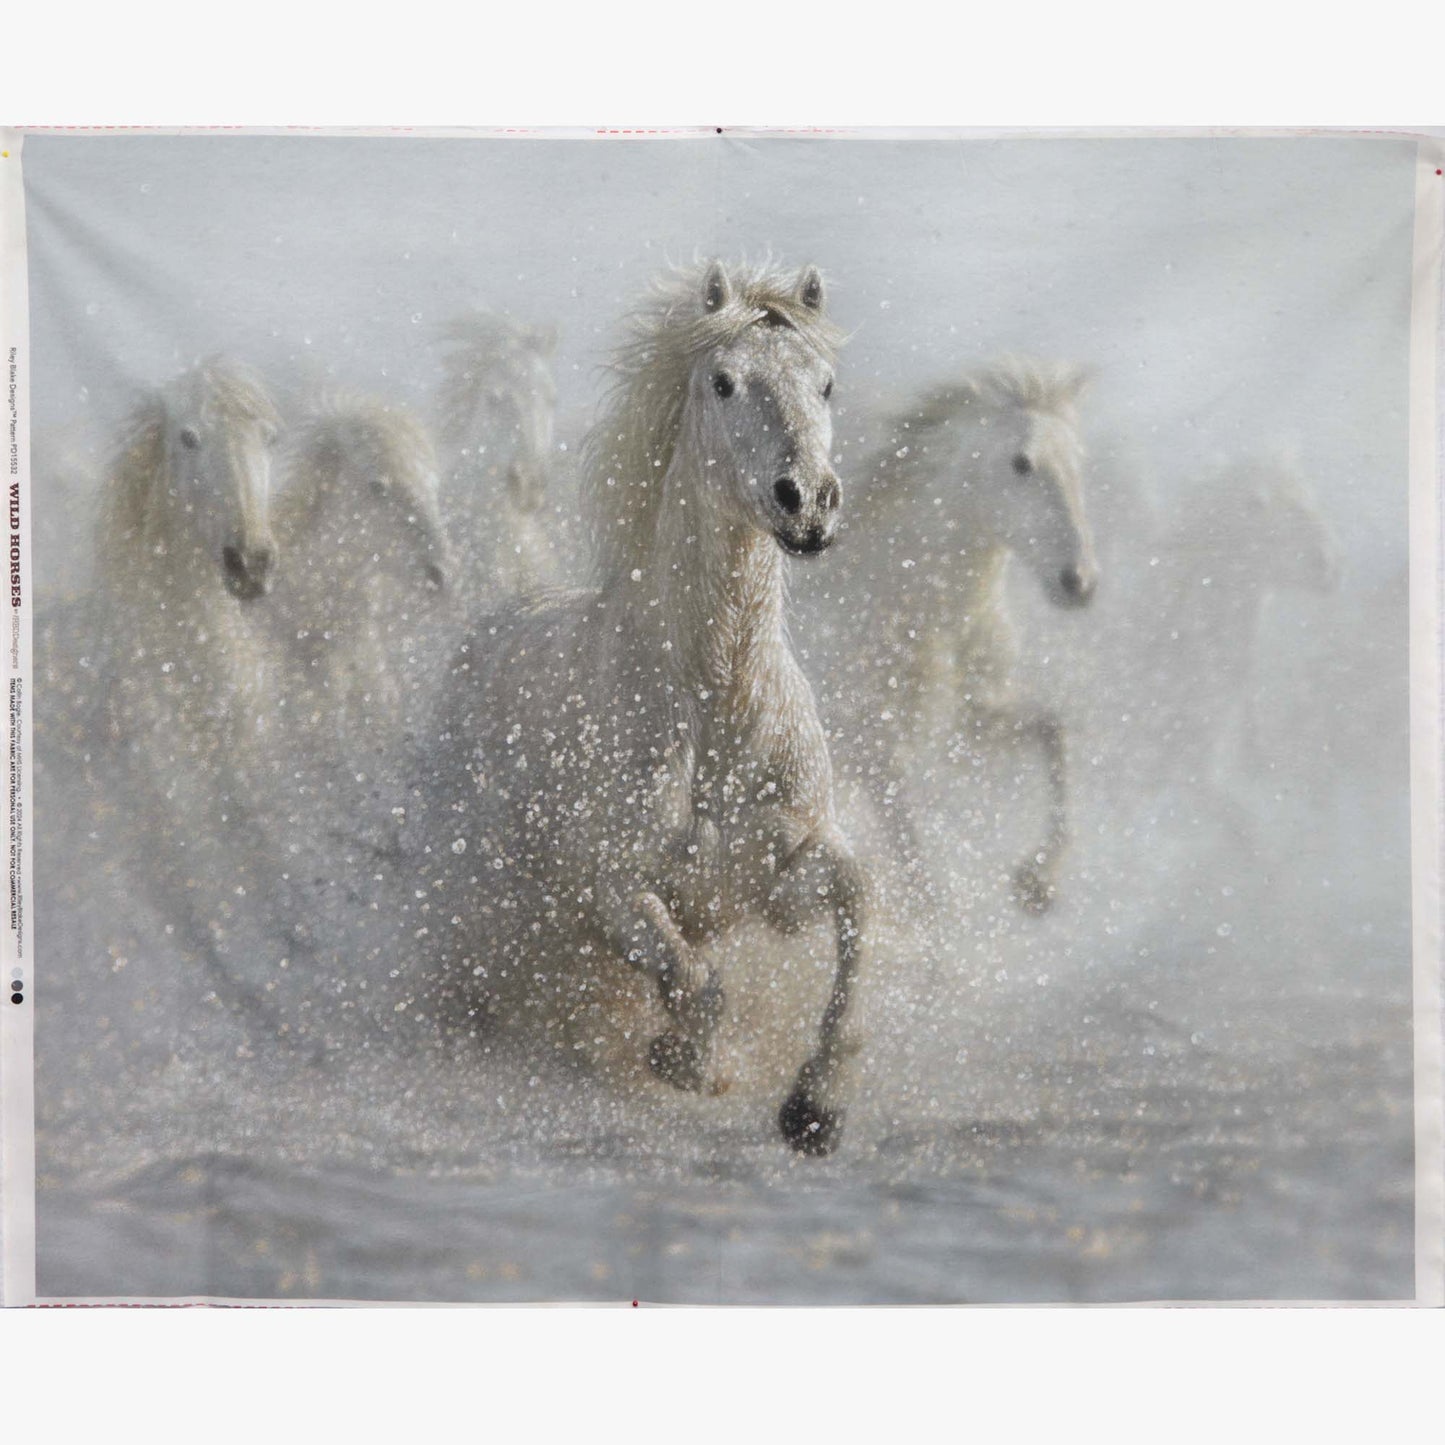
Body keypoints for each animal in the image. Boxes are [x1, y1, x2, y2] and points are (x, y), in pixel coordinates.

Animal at [817, 360, 1098, 914]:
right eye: (1021, 462)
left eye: (1079, 461)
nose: (1079, 583)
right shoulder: (871, 753)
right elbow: (922, 886)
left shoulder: (973, 719)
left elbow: (1054, 731)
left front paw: (1037, 882)